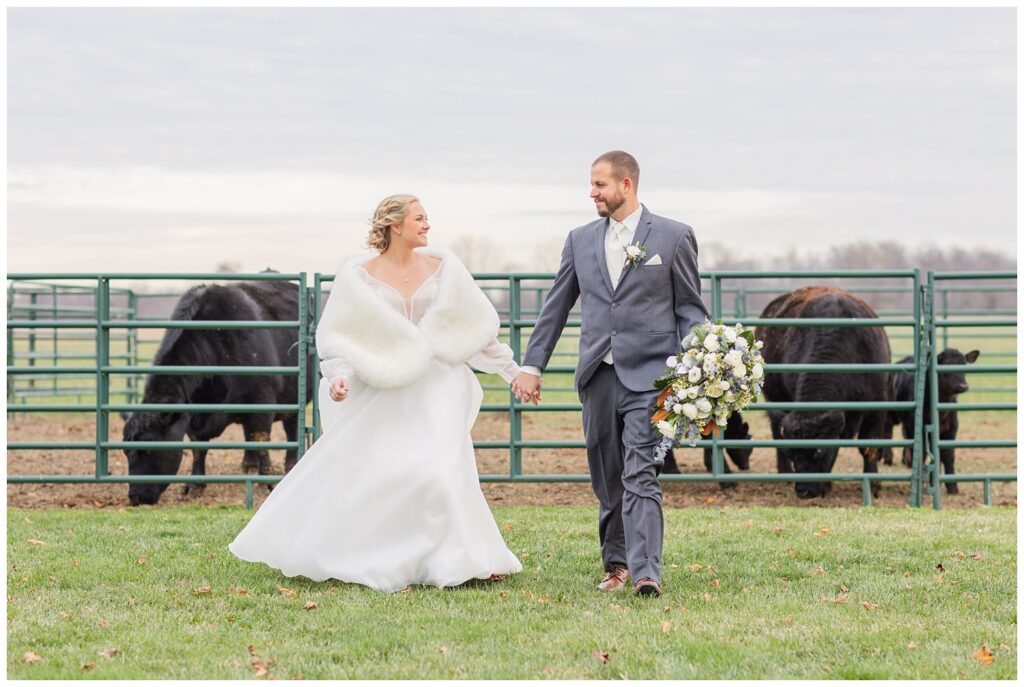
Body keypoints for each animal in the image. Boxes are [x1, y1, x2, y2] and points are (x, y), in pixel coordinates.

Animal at [120, 282, 311, 507]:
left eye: (148, 447)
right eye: (125, 451)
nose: (136, 496)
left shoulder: (262, 401)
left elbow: (260, 439)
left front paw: (266, 483)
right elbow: (198, 448)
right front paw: (195, 485)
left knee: (290, 428)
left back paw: (290, 465)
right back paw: (249, 465)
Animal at [757, 286, 892, 499]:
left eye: (820, 450)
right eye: (793, 452)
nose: (804, 491)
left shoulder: (876, 405)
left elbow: (869, 446)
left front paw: (874, 485)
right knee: (776, 434)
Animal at [884, 350, 978, 495]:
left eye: (964, 366)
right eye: (946, 366)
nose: (963, 386)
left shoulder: (951, 428)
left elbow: (948, 455)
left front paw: (952, 486)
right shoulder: (915, 425)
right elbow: (921, 453)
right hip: (891, 414)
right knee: (888, 431)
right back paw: (889, 458)